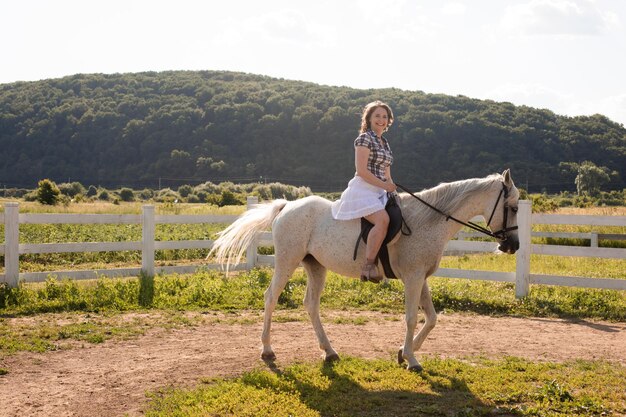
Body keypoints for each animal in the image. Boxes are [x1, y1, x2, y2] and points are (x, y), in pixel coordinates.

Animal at [207, 169, 520, 370]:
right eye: (514, 207)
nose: (513, 245)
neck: (428, 220)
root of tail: (287, 206)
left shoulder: (421, 278)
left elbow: (431, 318)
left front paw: (404, 352)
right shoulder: (413, 278)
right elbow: (411, 318)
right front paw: (412, 360)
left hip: (315, 266)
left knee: (311, 304)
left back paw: (329, 352)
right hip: (287, 261)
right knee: (271, 297)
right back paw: (268, 350)